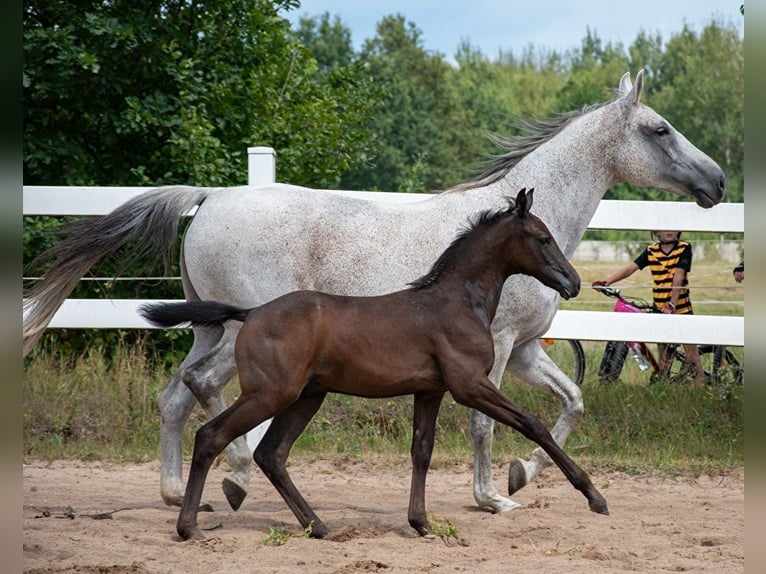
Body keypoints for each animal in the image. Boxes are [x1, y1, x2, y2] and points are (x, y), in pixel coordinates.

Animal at [24, 70, 728, 516]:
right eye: (660, 129)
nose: (717, 180)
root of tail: (211, 198)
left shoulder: (528, 350)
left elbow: (572, 402)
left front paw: (521, 474)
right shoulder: (499, 351)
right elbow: (484, 423)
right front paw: (494, 497)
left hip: (208, 327)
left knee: (174, 395)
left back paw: (179, 493)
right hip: (241, 334)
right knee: (202, 392)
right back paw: (238, 477)